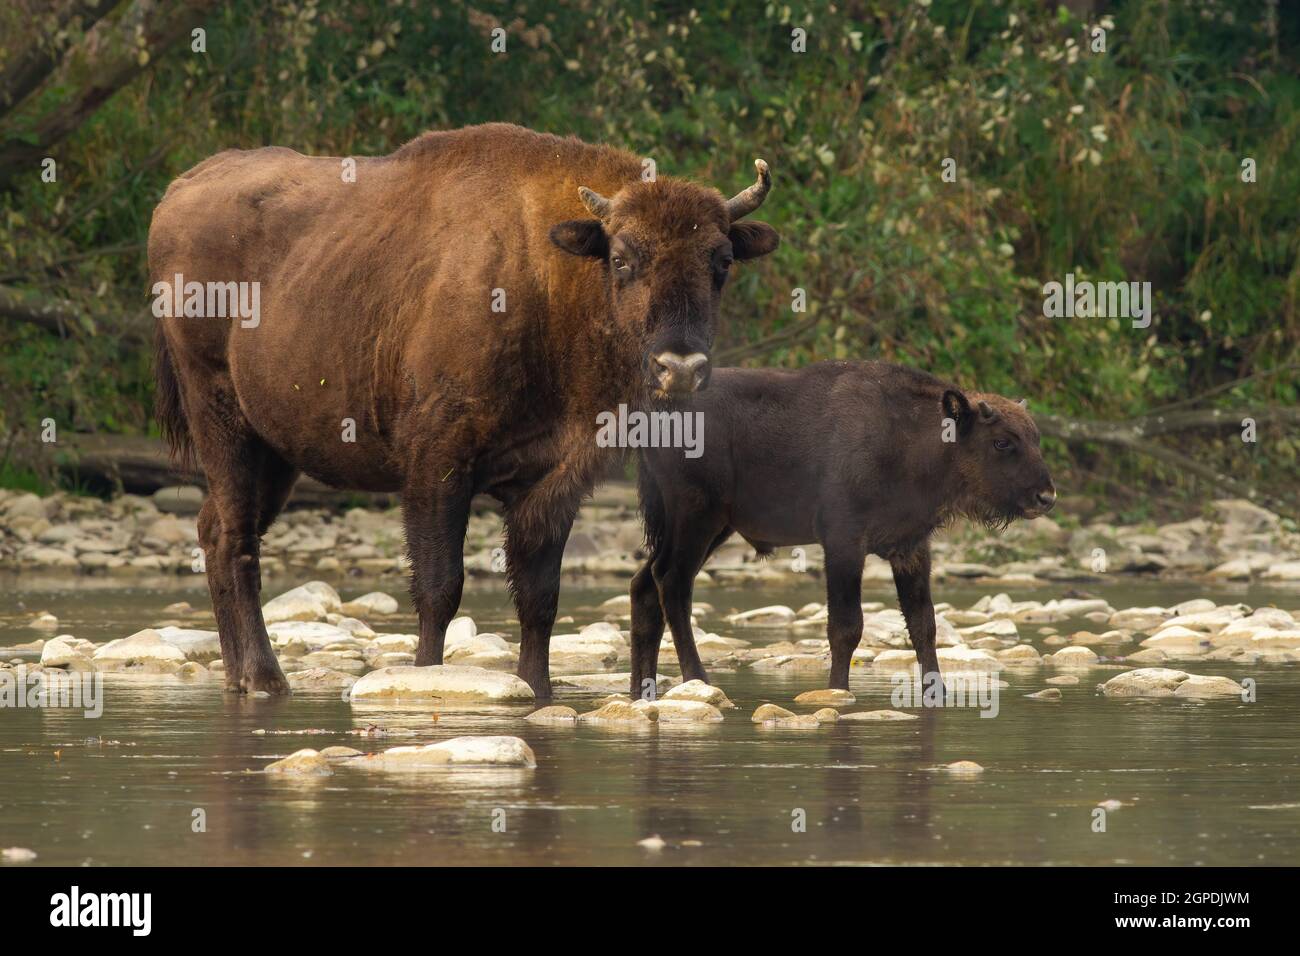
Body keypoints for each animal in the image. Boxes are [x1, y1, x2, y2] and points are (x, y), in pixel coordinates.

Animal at [148, 123, 779, 696]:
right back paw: (263, 679)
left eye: (722, 260)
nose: (681, 368)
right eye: (622, 258)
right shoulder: (438, 464)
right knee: (236, 539)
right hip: (221, 417)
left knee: (215, 529)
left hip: (276, 452)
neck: (551, 277)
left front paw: (536, 689)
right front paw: (428, 676)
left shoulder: (552, 480)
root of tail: (175, 193)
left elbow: (538, 594)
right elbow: (439, 588)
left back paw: (244, 678)